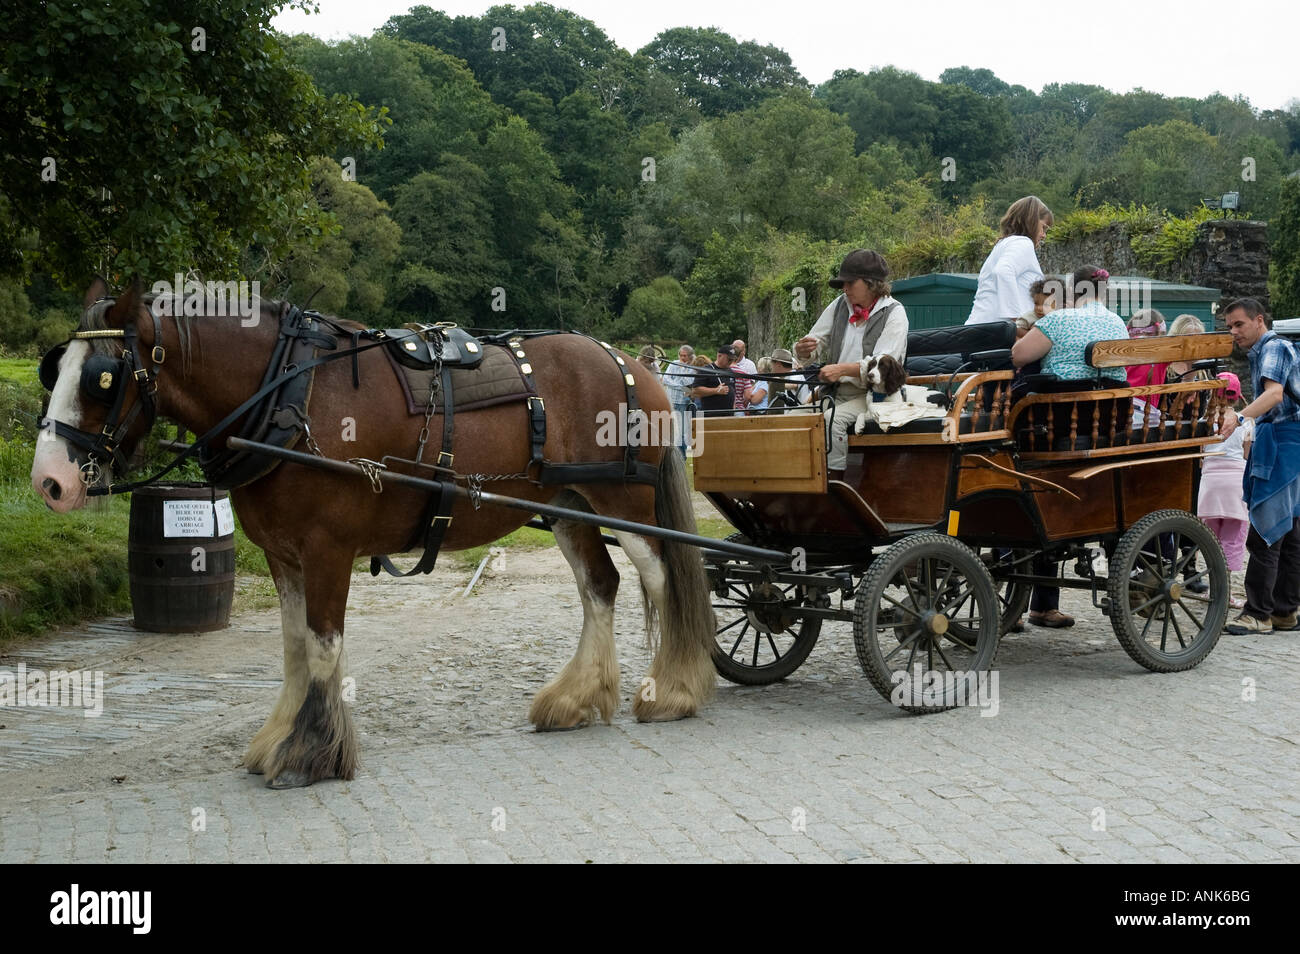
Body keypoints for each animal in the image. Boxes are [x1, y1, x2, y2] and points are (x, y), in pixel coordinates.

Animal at [30, 282, 717, 790]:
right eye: (51, 369)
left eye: (103, 379)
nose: (49, 481)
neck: (289, 392)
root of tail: (633, 366)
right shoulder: (284, 556)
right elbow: (293, 647)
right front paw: (280, 738)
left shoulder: (327, 549)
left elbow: (322, 645)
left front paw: (311, 754)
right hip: (570, 505)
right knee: (600, 585)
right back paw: (577, 699)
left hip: (626, 505)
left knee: (664, 578)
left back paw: (673, 689)